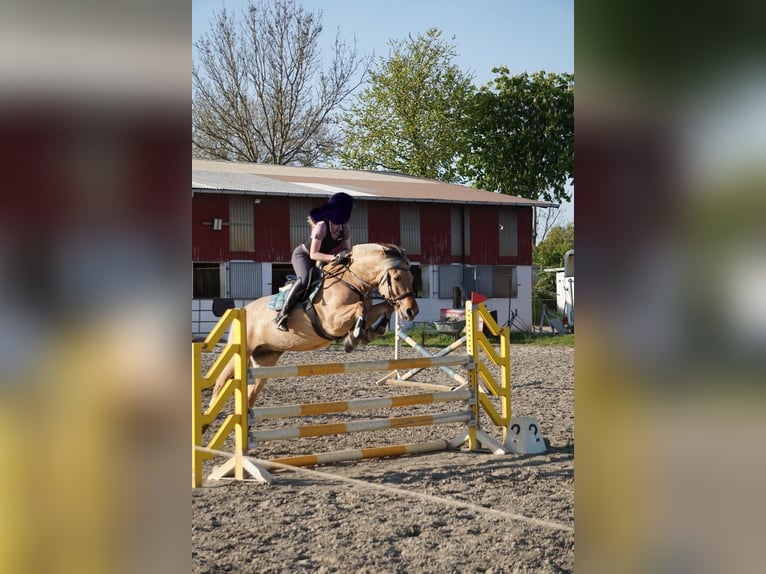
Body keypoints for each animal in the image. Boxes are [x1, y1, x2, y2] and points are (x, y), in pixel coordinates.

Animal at [210, 243, 420, 408]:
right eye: (397, 278)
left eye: (412, 278)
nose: (411, 311)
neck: (351, 282)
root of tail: (243, 310)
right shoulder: (332, 322)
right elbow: (360, 308)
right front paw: (353, 338)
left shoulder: (366, 311)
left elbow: (384, 307)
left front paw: (371, 332)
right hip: (240, 353)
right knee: (220, 383)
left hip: (265, 359)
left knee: (250, 394)